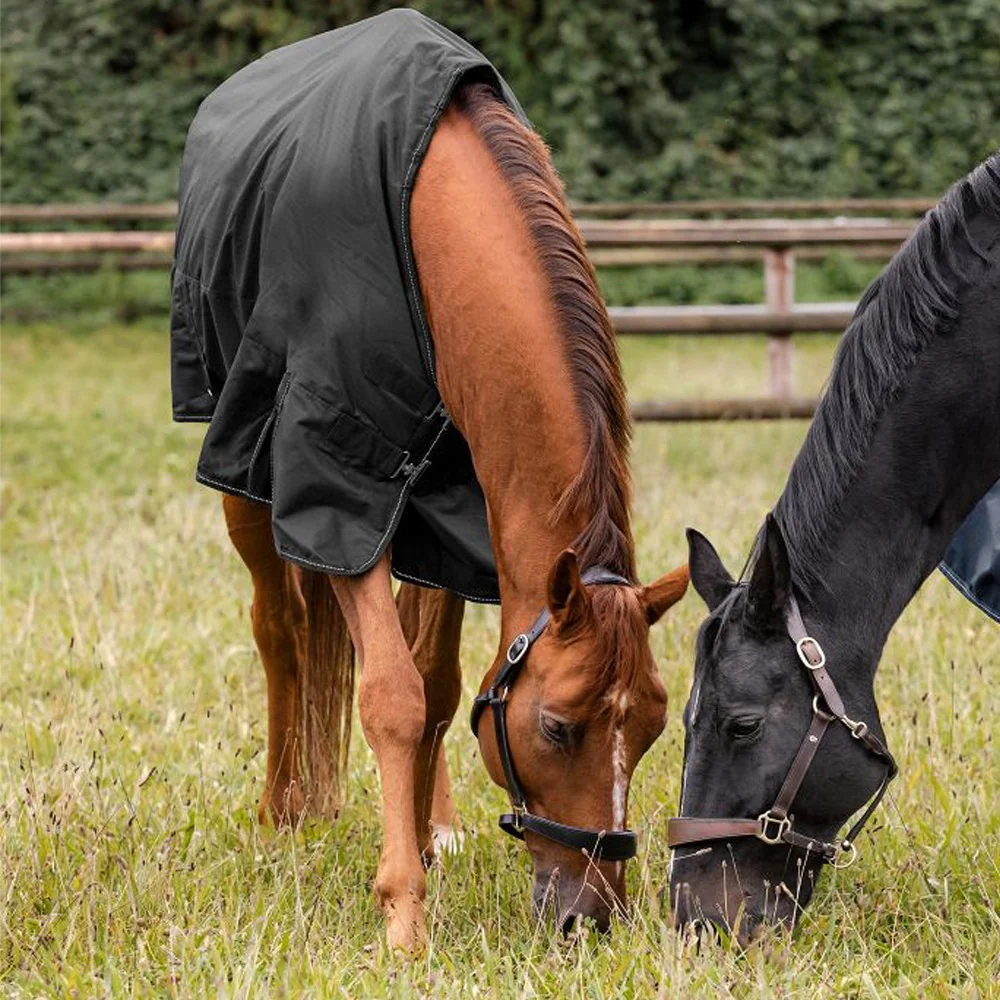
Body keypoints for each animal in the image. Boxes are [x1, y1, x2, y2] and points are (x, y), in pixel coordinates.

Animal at [172, 12, 688, 952]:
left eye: (654, 724)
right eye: (559, 728)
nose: (592, 917)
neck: (431, 217)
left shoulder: (458, 514)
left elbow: (440, 690)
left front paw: (420, 840)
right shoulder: (340, 487)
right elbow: (391, 697)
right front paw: (404, 913)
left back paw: (428, 821)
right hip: (242, 470)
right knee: (278, 627)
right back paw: (282, 810)